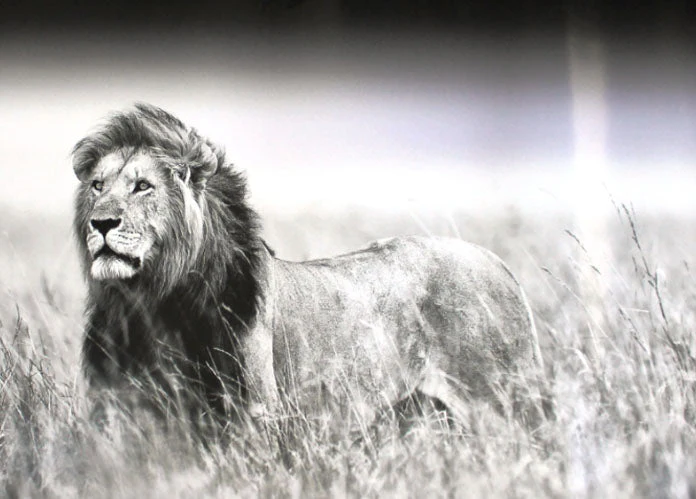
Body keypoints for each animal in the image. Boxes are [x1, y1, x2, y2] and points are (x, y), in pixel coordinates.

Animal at [72, 103, 545, 432]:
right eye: (97, 186)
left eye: (143, 186)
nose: (102, 222)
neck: (151, 302)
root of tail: (496, 261)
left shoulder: (252, 413)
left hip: (503, 406)